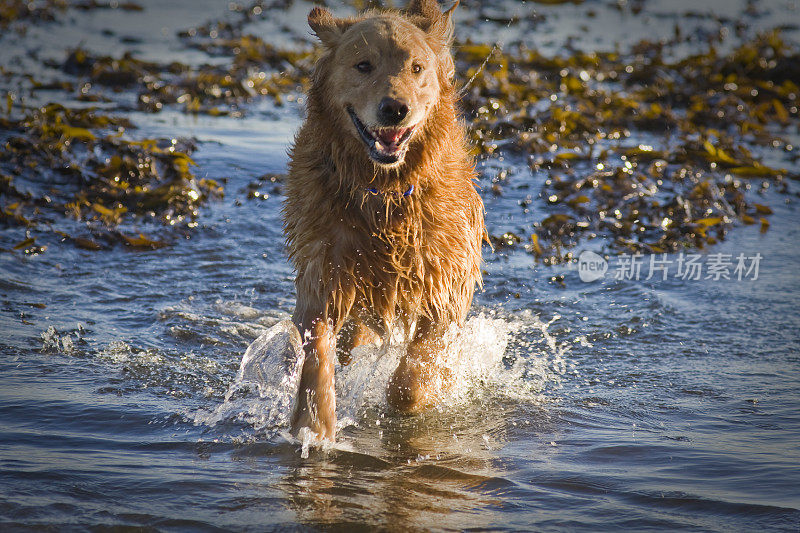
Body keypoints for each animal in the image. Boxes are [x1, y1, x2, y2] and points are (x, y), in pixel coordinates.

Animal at [284, 1, 484, 440]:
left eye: (416, 68)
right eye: (363, 65)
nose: (395, 109)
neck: (384, 191)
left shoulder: (446, 277)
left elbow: (414, 375)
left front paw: (413, 398)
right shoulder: (323, 271)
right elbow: (318, 349)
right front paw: (315, 422)